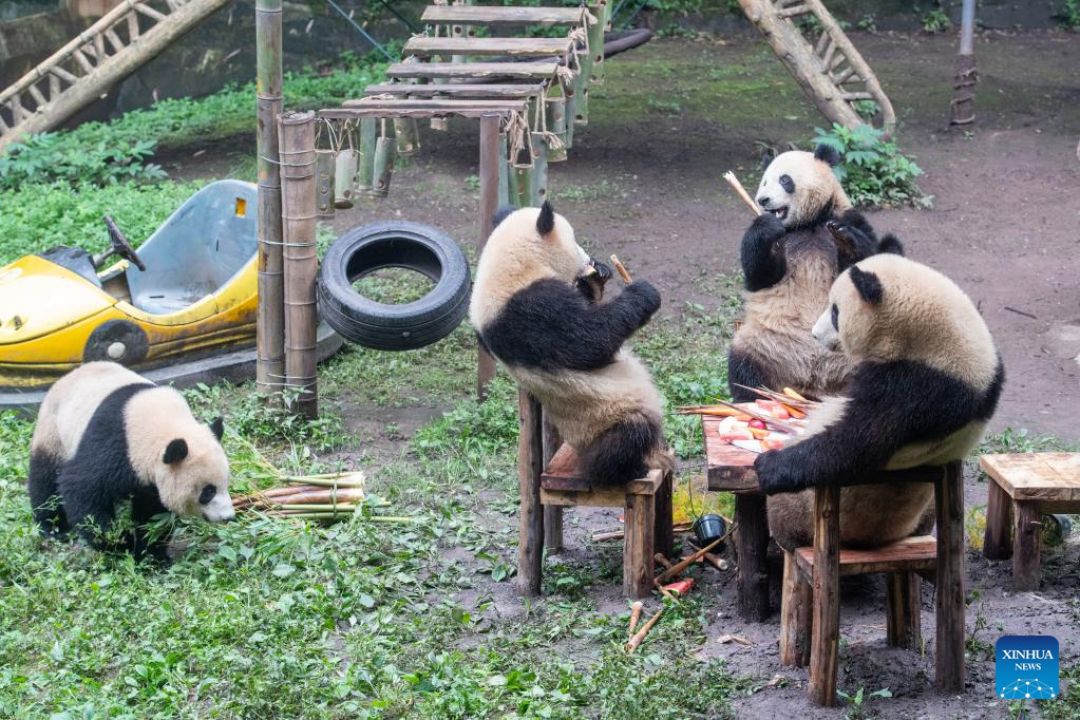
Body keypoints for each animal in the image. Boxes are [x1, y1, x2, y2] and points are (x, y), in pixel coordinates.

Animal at [468, 199, 669, 487]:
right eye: (574, 241)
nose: (587, 259)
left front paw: (597, 274)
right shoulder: (530, 310)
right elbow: (591, 340)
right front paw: (643, 292)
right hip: (603, 417)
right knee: (627, 437)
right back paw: (626, 470)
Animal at [725, 144, 902, 405]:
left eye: (785, 179)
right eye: (764, 182)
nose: (762, 200)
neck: (808, 224)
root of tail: (812, 384)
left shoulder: (847, 217)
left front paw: (846, 241)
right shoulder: (784, 239)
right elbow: (760, 276)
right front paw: (766, 225)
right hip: (766, 343)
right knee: (743, 366)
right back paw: (752, 398)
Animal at [751, 253, 1002, 546]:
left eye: (835, 312)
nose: (814, 334)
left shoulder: (920, 391)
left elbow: (852, 444)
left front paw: (767, 465)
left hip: (808, 511)